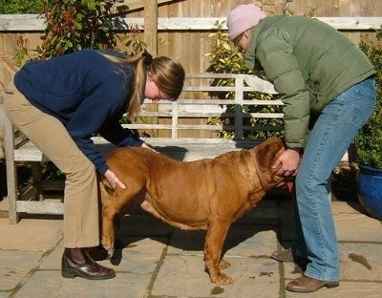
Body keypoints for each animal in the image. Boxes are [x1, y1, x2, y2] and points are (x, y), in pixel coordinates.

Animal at [100, 137, 286, 284]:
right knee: (108, 210)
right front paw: (217, 276)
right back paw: (108, 242)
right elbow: (214, 249)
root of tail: (109, 155)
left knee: (114, 214)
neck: (249, 172)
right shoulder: (220, 222)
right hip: (132, 183)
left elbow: (215, 249)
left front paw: (219, 265)